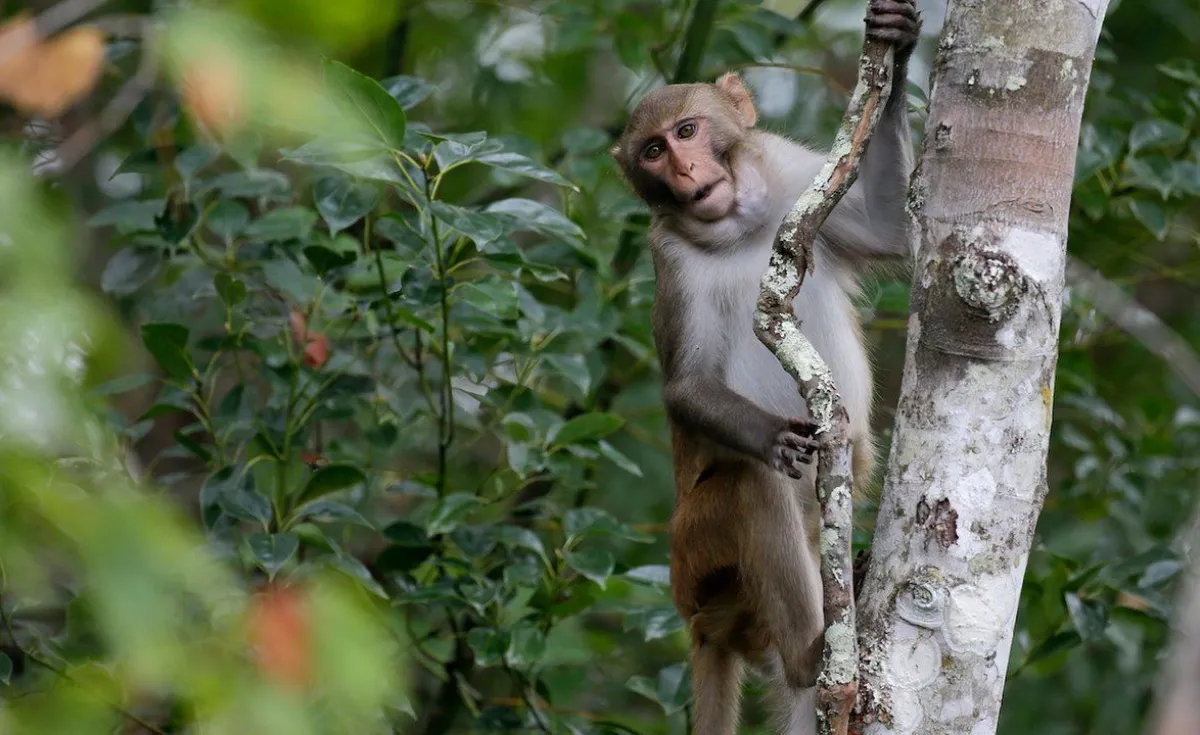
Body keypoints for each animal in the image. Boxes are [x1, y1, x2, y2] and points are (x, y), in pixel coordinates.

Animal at [614, 2, 921, 730]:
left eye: (688, 130)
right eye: (653, 151)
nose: (685, 172)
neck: (738, 226)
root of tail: (703, 622)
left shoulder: (789, 170)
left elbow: (889, 227)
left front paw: (896, 53)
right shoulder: (671, 259)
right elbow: (687, 385)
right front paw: (770, 435)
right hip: (697, 556)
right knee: (751, 485)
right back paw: (811, 653)